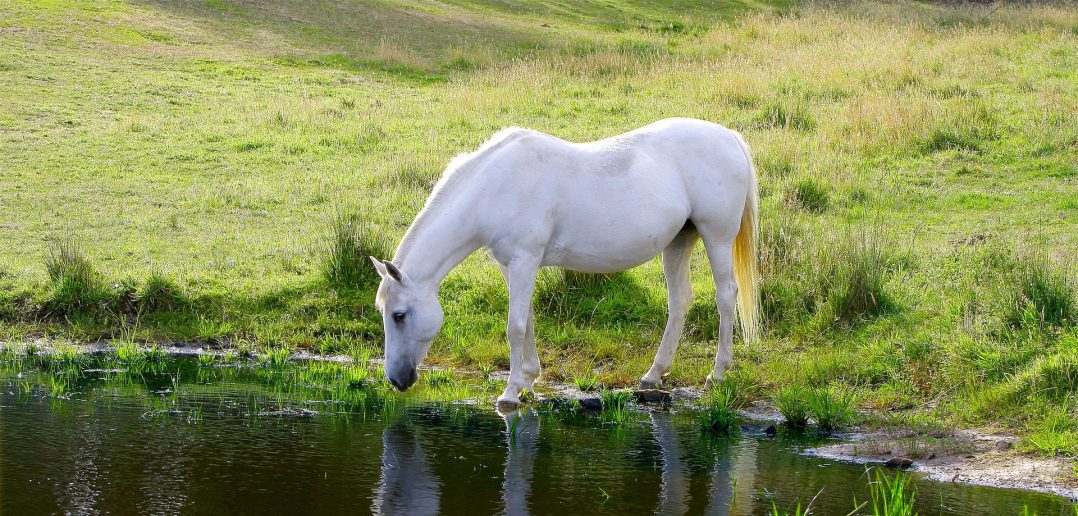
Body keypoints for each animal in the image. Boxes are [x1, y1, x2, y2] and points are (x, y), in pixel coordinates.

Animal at [370, 117, 760, 407]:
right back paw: (653, 375)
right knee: (679, 302)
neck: (493, 186)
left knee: (726, 297)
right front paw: (528, 379)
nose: (396, 379)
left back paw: (718, 373)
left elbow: (515, 326)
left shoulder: (524, 260)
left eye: (399, 315)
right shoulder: (511, 264)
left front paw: (510, 393)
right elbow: (527, 319)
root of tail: (730, 138)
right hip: (679, 242)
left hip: (717, 237)